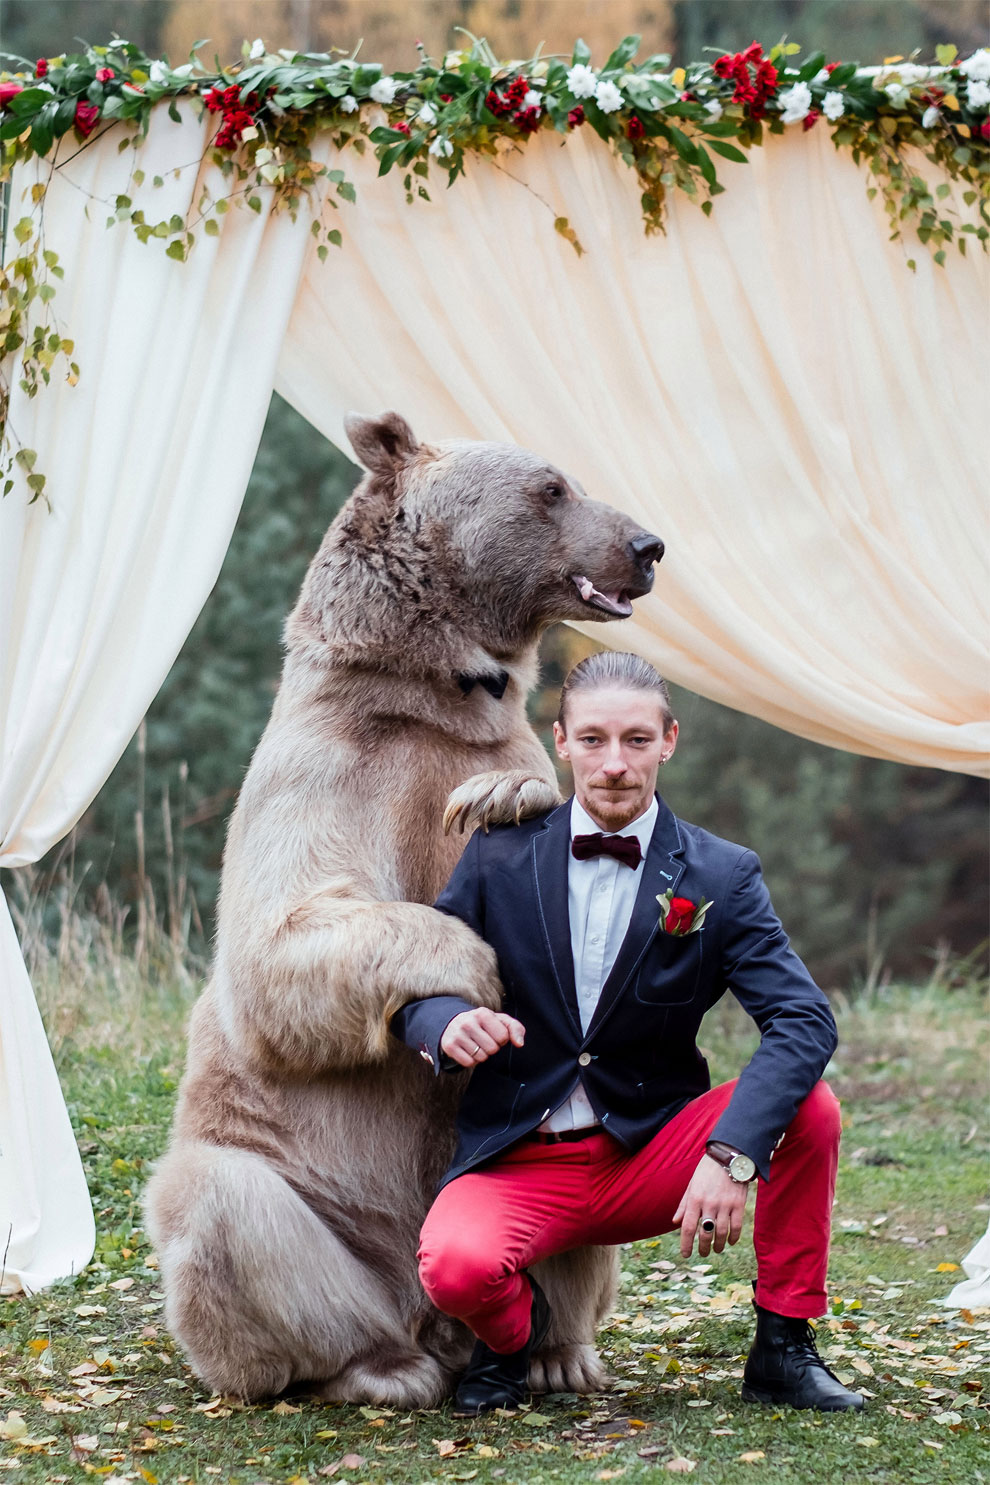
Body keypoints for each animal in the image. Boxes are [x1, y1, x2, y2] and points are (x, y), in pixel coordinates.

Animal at [143, 415, 661, 1401]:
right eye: (552, 487)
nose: (648, 545)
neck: (437, 691)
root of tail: (434, 1318)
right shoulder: (334, 768)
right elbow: (287, 931)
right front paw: (475, 973)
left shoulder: (492, 744)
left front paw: (500, 799)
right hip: (309, 1195)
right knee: (224, 1203)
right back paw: (378, 1368)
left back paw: (561, 1350)